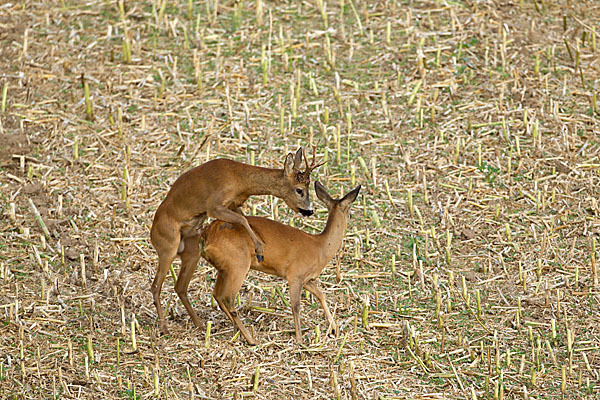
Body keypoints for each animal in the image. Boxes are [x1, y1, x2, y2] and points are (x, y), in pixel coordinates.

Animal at [150, 147, 324, 334]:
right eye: (299, 190)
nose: (309, 211)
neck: (240, 179)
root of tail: (152, 234)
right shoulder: (214, 205)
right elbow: (243, 220)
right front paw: (259, 250)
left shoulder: (233, 204)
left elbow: (245, 219)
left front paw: (261, 243)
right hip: (168, 246)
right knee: (156, 286)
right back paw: (164, 328)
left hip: (192, 250)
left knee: (180, 286)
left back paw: (200, 325)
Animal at [199, 181, 358, 344]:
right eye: (350, 212)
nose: (351, 218)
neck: (320, 247)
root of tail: (207, 236)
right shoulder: (295, 275)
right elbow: (296, 305)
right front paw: (299, 340)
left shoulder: (306, 279)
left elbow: (321, 295)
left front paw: (334, 329)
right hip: (238, 265)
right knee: (228, 298)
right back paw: (251, 339)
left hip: (224, 268)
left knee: (217, 295)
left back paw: (238, 331)